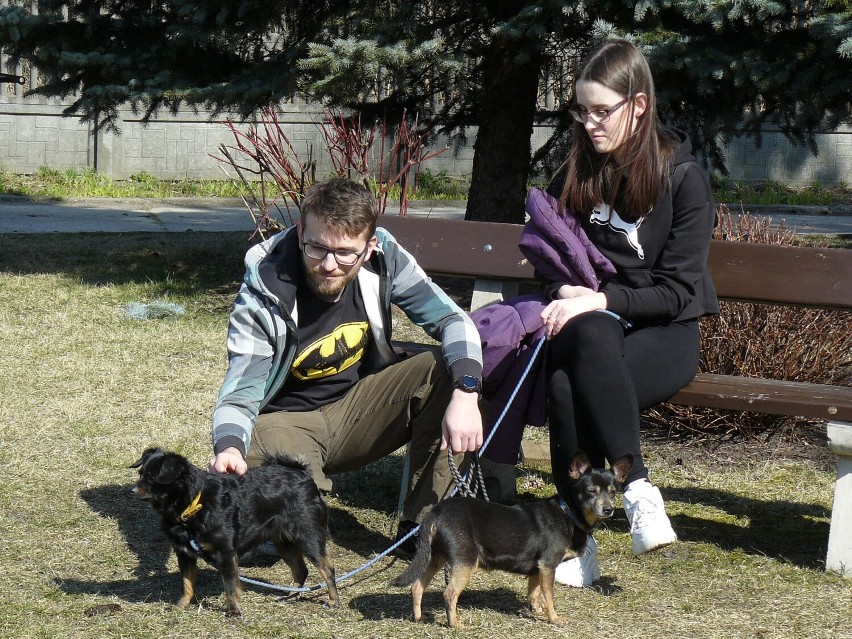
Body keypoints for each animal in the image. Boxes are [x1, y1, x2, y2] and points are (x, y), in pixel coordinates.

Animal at [130, 448, 340, 616]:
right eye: (140, 474)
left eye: (151, 478)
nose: (131, 490)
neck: (191, 508)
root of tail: (302, 474)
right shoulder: (185, 553)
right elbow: (187, 583)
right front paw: (182, 604)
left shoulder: (226, 554)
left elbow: (230, 586)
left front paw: (234, 611)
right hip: (283, 543)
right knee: (301, 570)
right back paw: (291, 595)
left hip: (307, 537)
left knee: (327, 569)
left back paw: (333, 601)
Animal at [390, 452, 628, 628]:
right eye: (591, 492)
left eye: (613, 493)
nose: (608, 510)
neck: (568, 512)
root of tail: (436, 512)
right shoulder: (548, 565)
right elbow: (549, 595)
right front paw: (554, 618)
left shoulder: (538, 568)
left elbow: (534, 593)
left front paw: (536, 611)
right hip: (465, 561)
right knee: (449, 593)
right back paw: (454, 625)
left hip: (435, 557)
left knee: (416, 586)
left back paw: (419, 617)